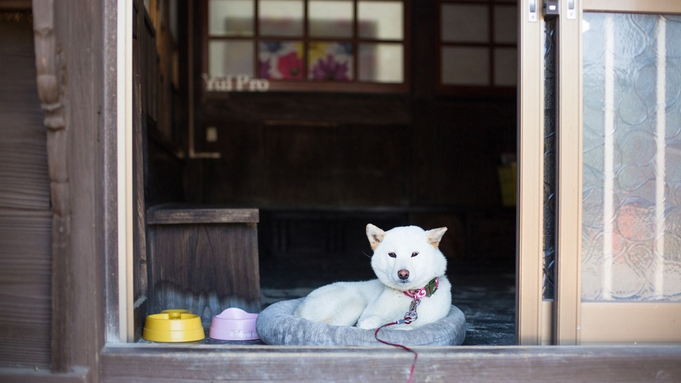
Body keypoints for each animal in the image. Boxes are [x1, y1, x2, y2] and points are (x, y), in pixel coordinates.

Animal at [294, 225, 448, 330]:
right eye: (392, 254)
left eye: (414, 254)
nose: (403, 273)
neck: (410, 296)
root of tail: (300, 308)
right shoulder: (369, 314)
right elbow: (372, 320)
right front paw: (367, 324)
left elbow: (405, 327)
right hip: (353, 306)